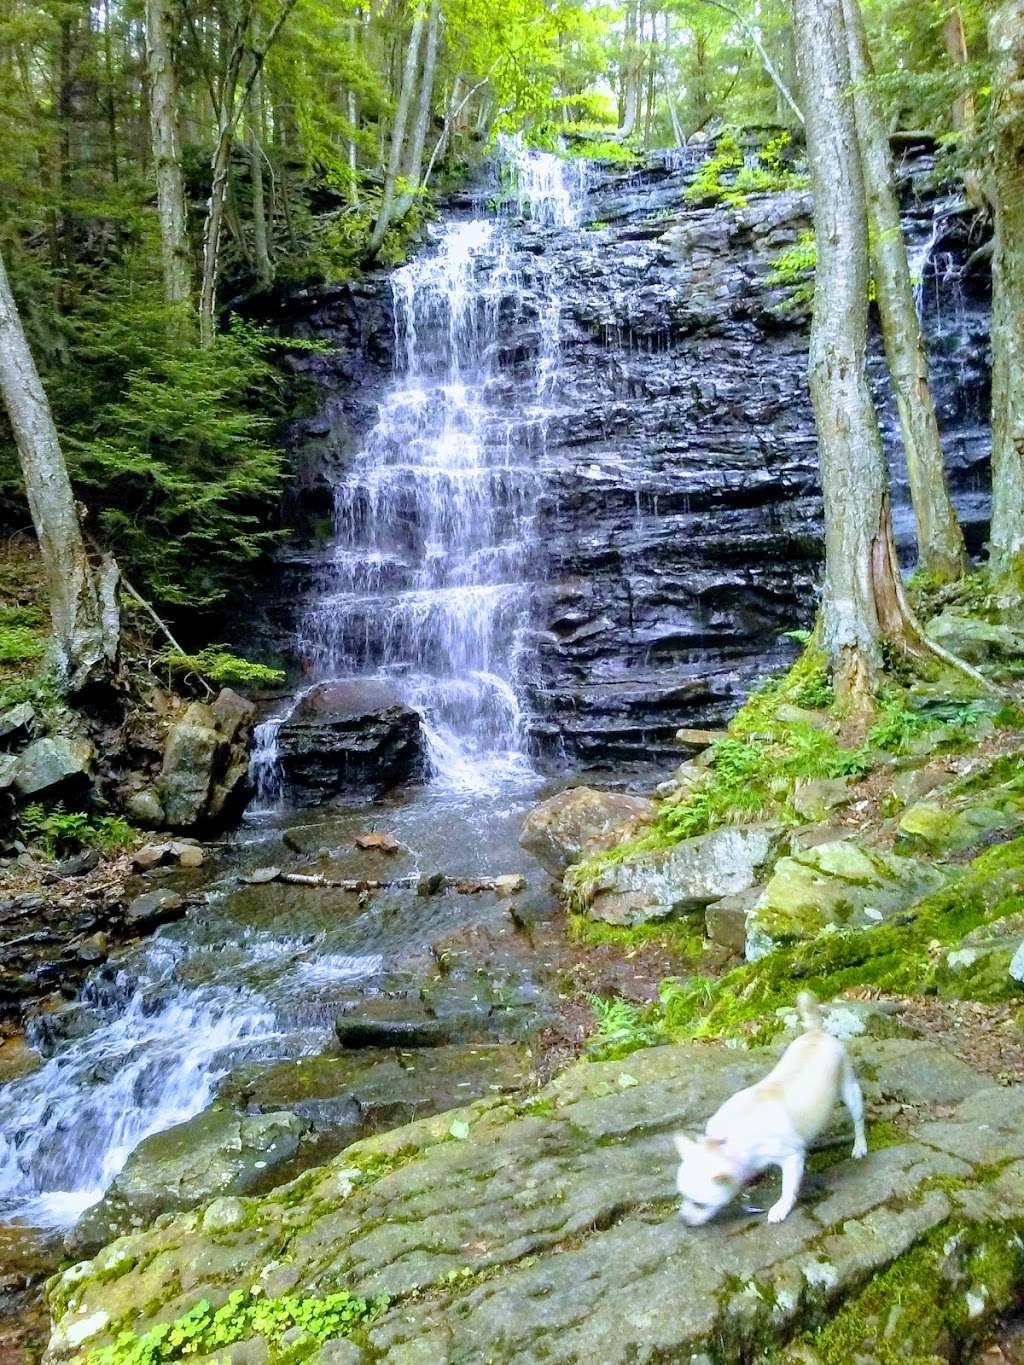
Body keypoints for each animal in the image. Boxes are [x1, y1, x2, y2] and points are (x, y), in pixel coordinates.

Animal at [677, 993, 868, 1228]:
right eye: (682, 1196)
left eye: (699, 1204)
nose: (683, 1220)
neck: (725, 1143)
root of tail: (816, 1032)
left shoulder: (792, 1156)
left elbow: (788, 1187)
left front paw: (781, 1208)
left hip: (849, 1089)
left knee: (858, 1119)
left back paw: (859, 1146)